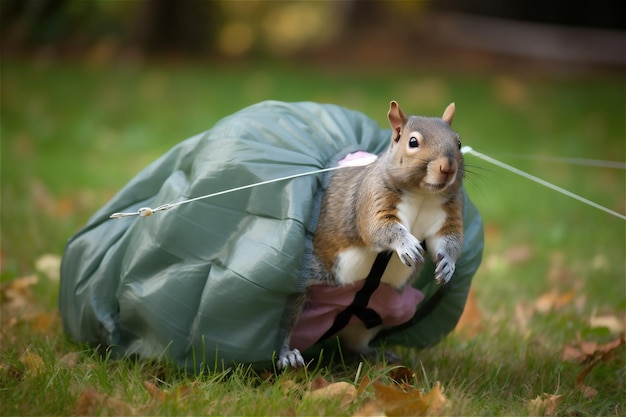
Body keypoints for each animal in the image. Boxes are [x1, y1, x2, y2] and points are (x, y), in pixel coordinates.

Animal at [278, 101, 464, 368]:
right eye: (413, 142)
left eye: (458, 143)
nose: (448, 167)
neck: (423, 195)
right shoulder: (371, 200)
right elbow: (378, 229)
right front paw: (406, 244)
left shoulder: (448, 217)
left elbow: (448, 240)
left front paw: (448, 265)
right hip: (303, 291)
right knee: (286, 325)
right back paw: (287, 354)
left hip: (380, 310)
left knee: (354, 342)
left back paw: (376, 353)